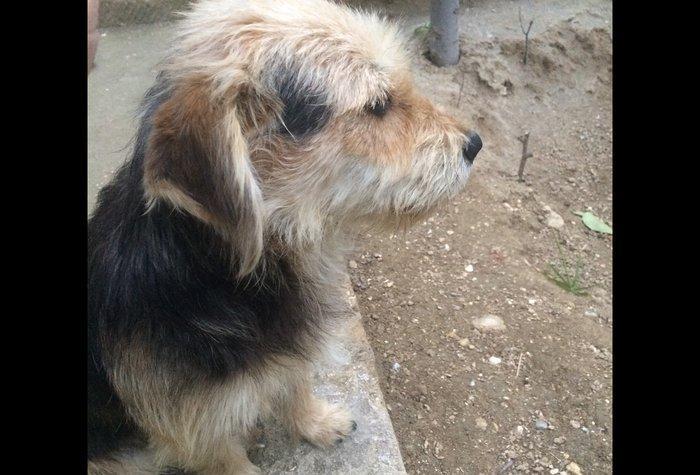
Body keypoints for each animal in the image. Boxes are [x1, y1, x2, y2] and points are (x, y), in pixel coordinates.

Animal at [87, 0, 482, 473]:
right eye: (378, 106)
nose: (474, 143)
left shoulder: (288, 357)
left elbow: (296, 382)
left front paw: (317, 422)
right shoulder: (197, 434)